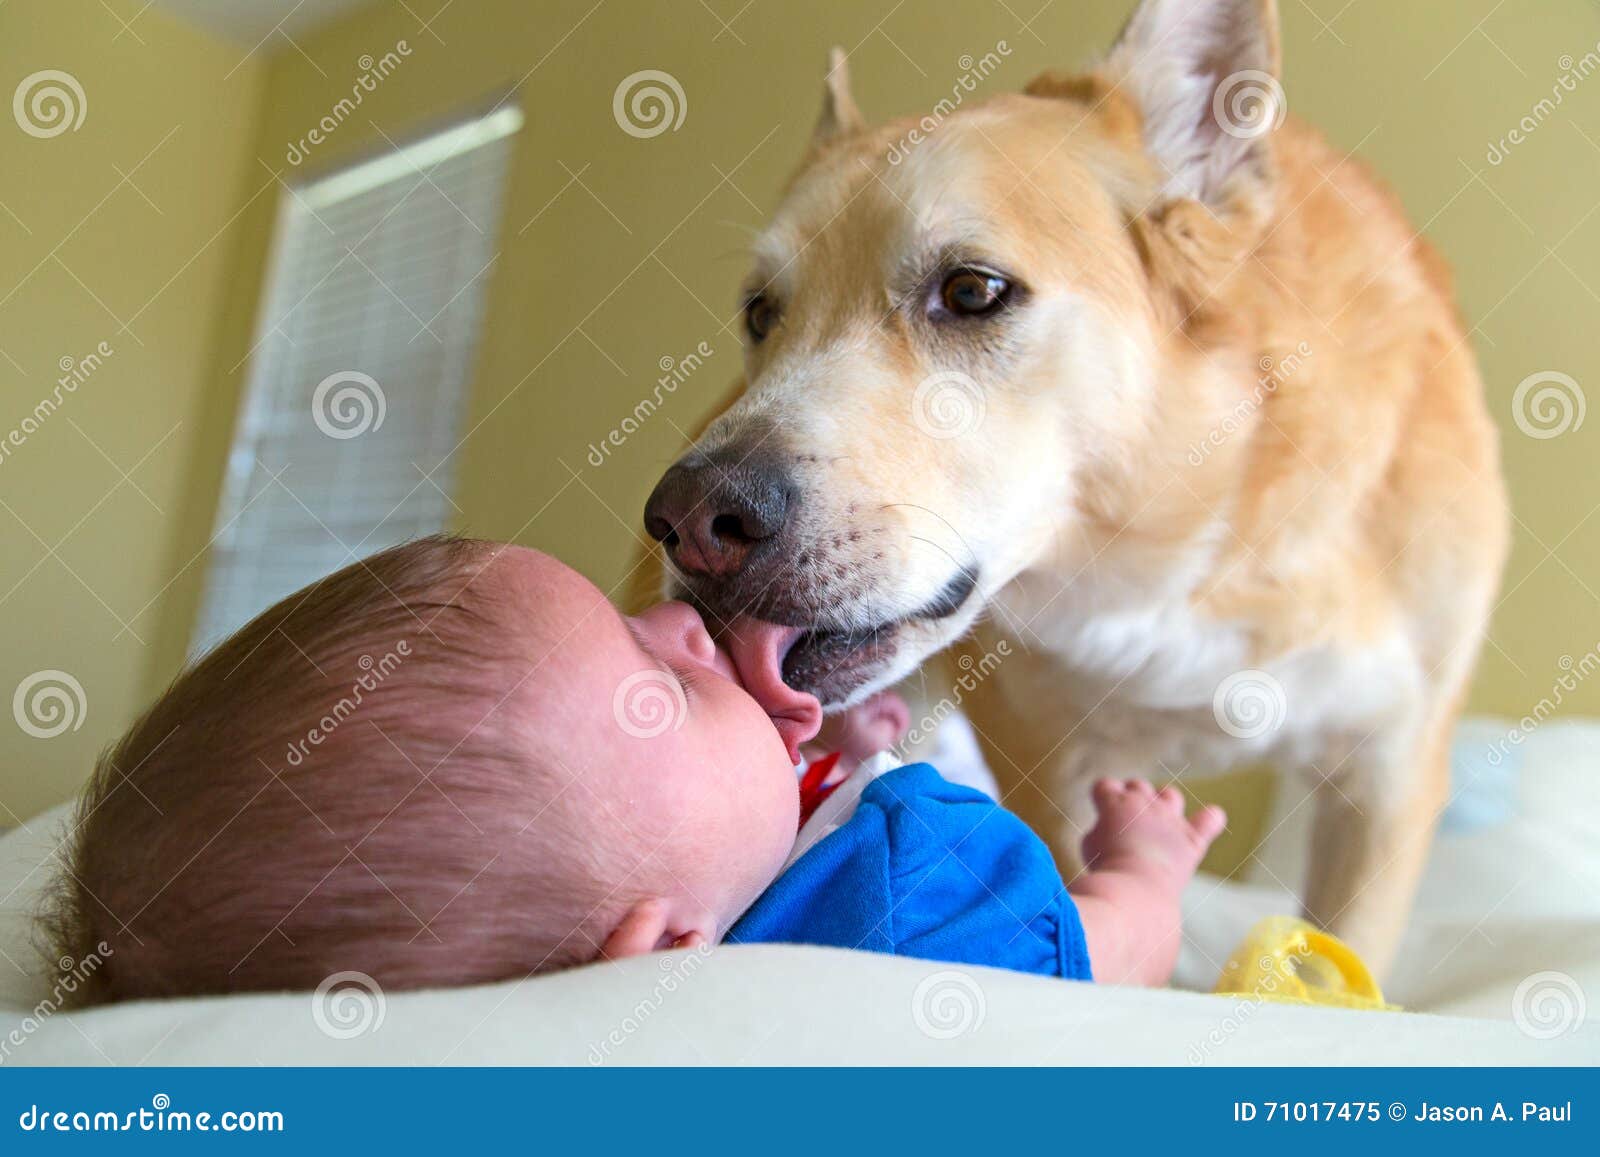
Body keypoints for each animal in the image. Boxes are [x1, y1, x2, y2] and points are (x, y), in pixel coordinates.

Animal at [640, 0, 1510, 979]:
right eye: (761, 313)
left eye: (971, 291)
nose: (688, 518)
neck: (1186, 550)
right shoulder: (1047, 768)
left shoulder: (1388, 775)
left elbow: (1339, 946)